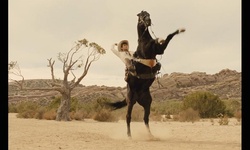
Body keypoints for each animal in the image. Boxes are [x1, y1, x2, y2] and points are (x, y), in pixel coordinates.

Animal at [106, 10, 185, 138]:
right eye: (142, 16)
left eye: (148, 14)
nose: (148, 21)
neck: (145, 40)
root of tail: (137, 97)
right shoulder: (148, 50)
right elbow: (158, 40)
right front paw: (160, 38)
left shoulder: (160, 50)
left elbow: (169, 36)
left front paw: (180, 30)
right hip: (131, 102)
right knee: (128, 117)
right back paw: (129, 136)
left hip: (147, 103)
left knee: (145, 118)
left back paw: (151, 136)